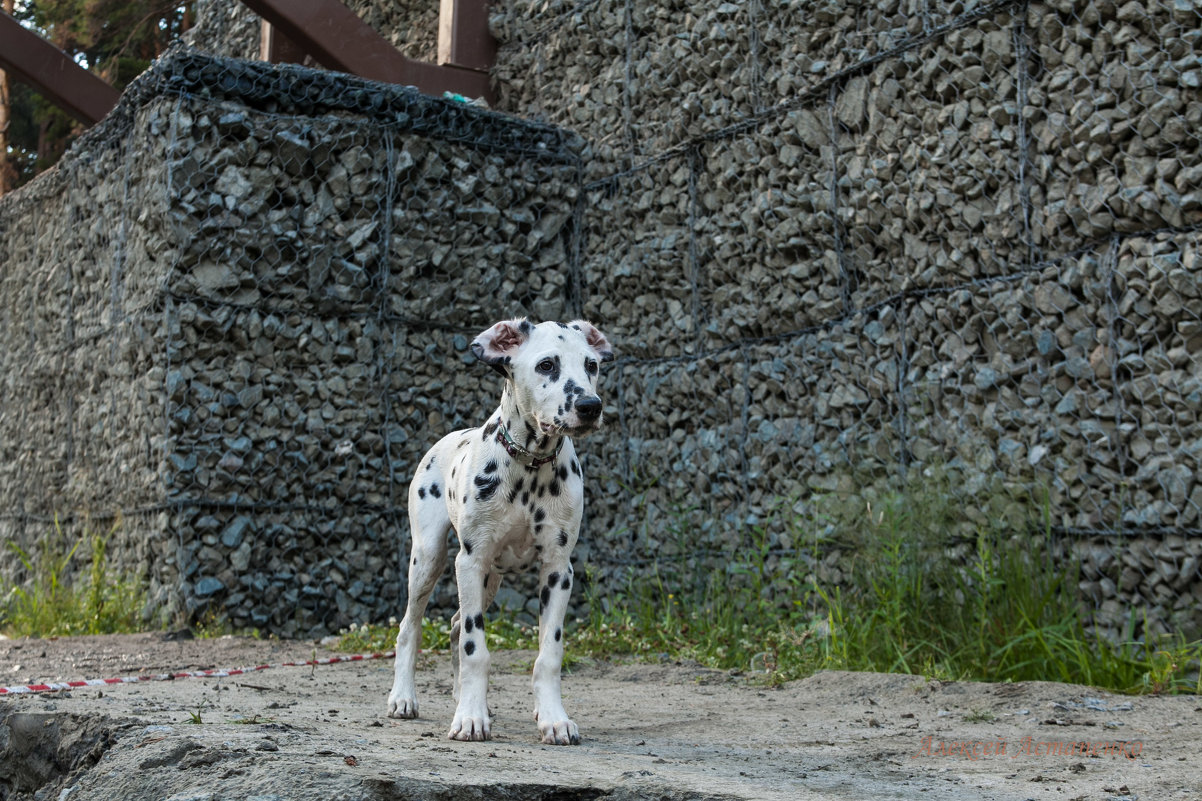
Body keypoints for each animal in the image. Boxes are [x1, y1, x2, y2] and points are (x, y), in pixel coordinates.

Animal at [384, 317, 610, 740]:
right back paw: (404, 698)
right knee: (411, 627)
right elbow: (475, 647)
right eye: (546, 365)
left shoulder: (558, 570)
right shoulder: (470, 562)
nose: (590, 406)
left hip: (490, 579)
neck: (530, 467)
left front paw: (553, 717)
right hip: (429, 561)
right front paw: (471, 718)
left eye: (592, 365)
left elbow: (548, 653)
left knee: (456, 624)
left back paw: (462, 696)